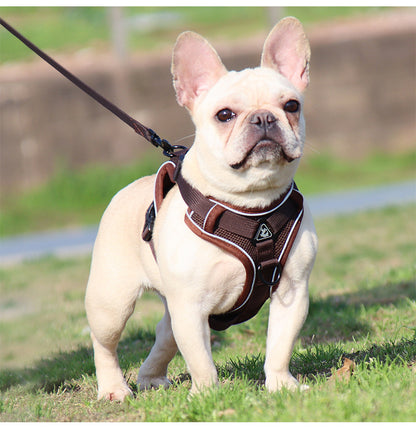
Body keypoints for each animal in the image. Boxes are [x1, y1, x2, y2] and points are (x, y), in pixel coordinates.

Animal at [85, 15, 318, 402]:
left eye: (291, 106)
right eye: (224, 115)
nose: (263, 118)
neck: (250, 205)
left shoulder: (292, 292)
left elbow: (280, 345)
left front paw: (280, 384)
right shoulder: (191, 305)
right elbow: (200, 359)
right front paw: (208, 395)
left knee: (164, 334)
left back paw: (150, 378)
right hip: (112, 303)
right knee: (105, 343)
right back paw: (114, 388)